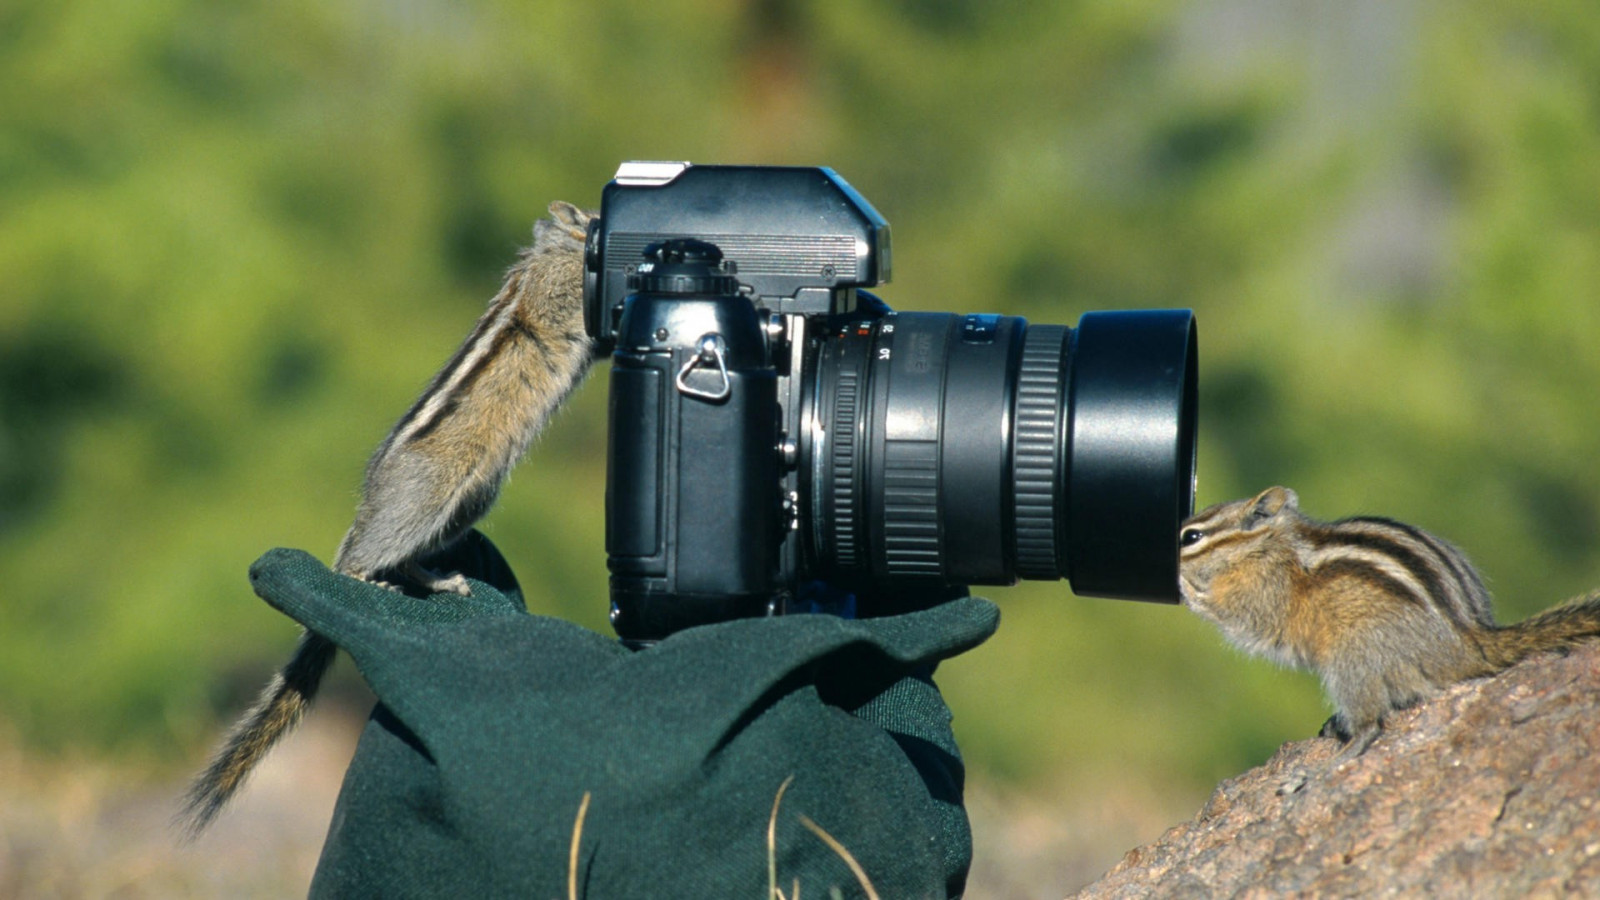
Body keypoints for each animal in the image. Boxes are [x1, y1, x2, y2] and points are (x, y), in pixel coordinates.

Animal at [178, 201, 597, 837]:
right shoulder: (555, 292)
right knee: (370, 557)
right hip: (427, 498)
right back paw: (365, 579)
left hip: (469, 502)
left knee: (408, 560)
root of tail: (367, 509)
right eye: (592, 218)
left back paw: (440, 580)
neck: (548, 252)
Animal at [1179, 485, 1600, 757]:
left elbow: (1242, 616)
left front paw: (1188, 588)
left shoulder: (1265, 593)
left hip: (1354, 658)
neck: (1265, 547)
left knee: (1372, 722)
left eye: (1191, 537)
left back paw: (1345, 752)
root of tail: (1468, 643)